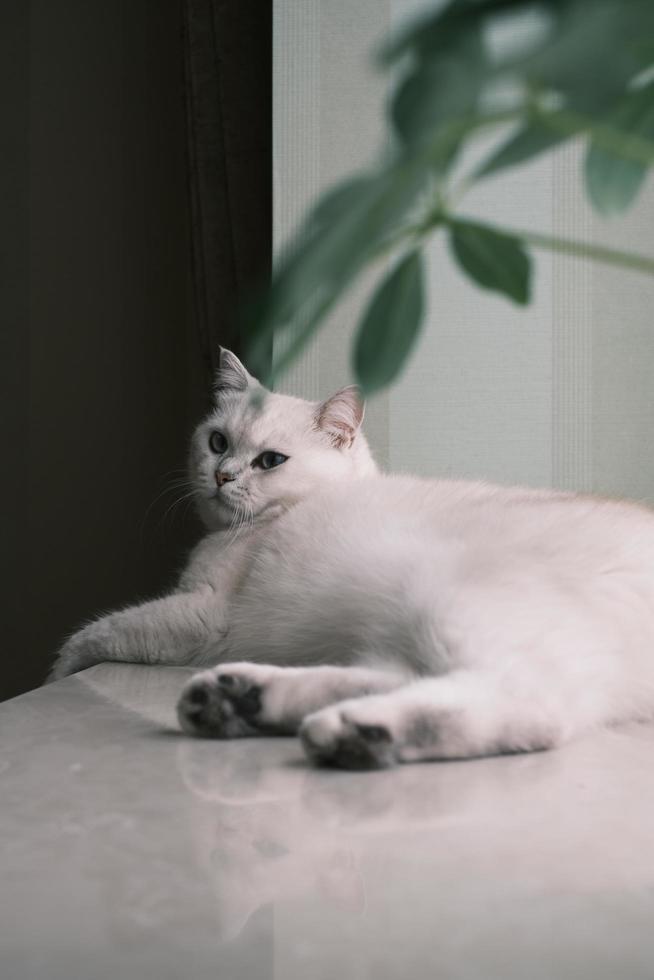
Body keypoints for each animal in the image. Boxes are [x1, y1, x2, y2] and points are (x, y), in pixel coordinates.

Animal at [50, 348, 654, 768]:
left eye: (269, 461)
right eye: (218, 442)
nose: (222, 475)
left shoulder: (201, 615)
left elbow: (98, 633)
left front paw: (59, 667)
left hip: (453, 600)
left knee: (525, 702)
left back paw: (353, 733)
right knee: (398, 676)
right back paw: (239, 699)